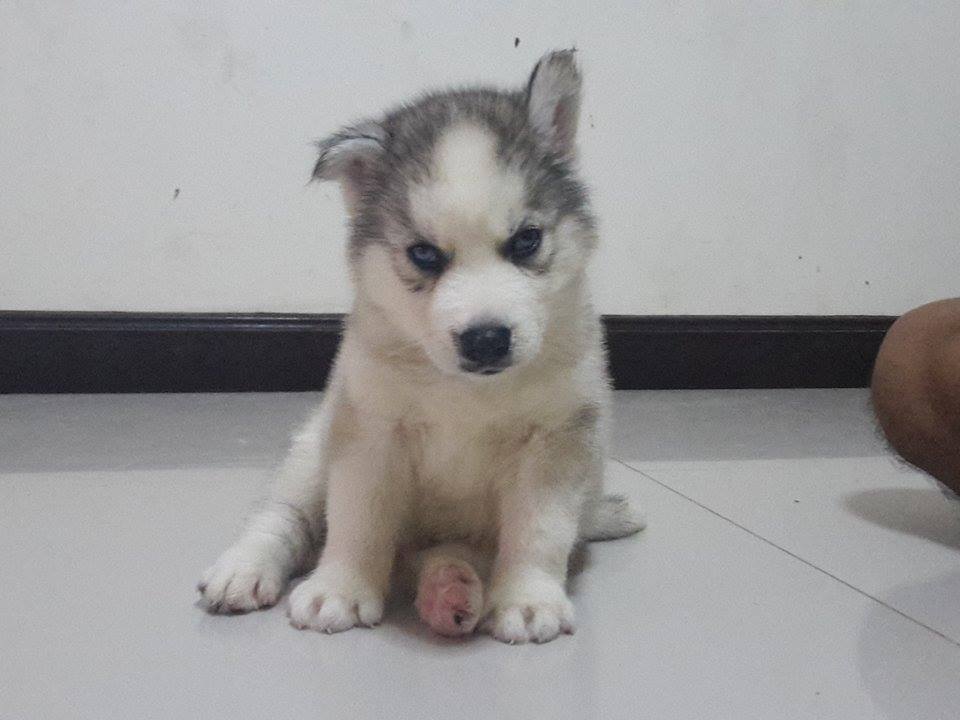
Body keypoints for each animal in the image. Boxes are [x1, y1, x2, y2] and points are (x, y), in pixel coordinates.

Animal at [198, 49, 643, 644]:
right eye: (425, 254)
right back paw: (246, 567)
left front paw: (527, 599)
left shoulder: (557, 437)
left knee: (450, 554)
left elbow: (539, 529)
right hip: (311, 450)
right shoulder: (370, 428)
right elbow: (358, 518)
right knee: (285, 515)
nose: (486, 339)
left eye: (526, 240)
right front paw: (341, 587)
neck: (464, 392)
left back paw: (449, 589)